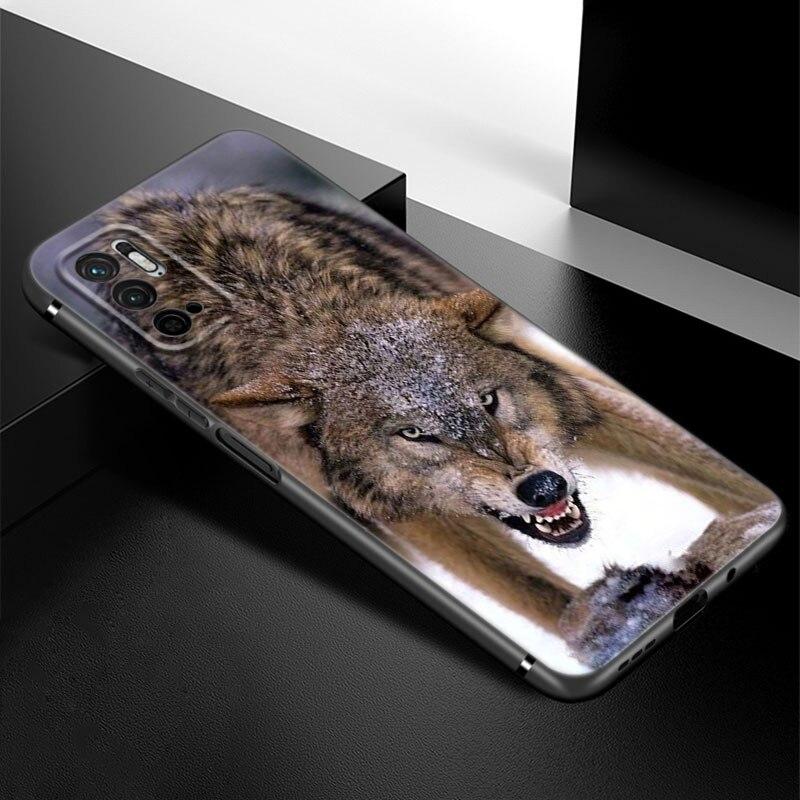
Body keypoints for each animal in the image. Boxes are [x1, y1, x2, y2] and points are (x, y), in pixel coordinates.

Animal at [104, 188, 780, 668]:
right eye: (415, 436)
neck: (302, 317)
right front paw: (612, 621)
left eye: (489, 400)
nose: (542, 489)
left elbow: (709, 468)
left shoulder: (577, 399)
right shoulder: (402, 515)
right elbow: (533, 591)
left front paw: (759, 521)